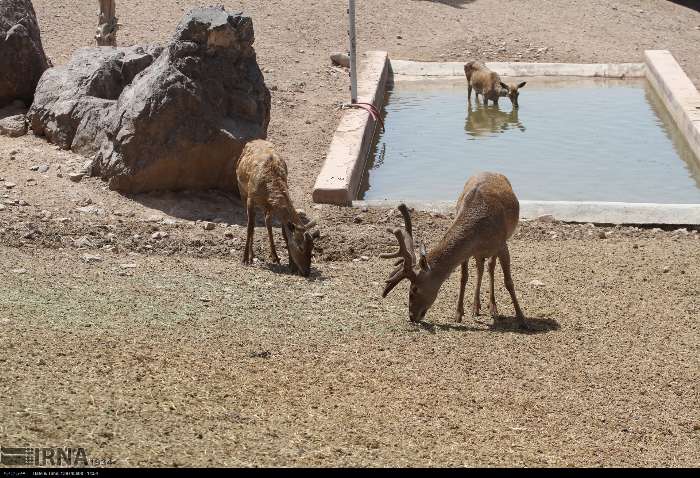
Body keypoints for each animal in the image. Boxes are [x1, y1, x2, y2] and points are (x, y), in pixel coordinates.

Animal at [238, 138, 320, 276]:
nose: (306, 272)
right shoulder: (250, 198)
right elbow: (250, 228)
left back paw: (275, 256)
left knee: (268, 222)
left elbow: (284, 233)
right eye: (301, 247)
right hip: (242, 190)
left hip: (267, 208)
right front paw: (244, 259)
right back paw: (251, 256)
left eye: (312, 247)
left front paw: (291, 265)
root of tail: (253, 141)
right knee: (253, 224)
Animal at [382, 174, 524, 326]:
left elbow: (508, 282)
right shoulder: (468, 252)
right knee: (481, 268)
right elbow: (463, 278)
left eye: (414, 289)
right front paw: (458, 314)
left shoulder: (502, 244)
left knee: (490, 266)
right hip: (479, 254)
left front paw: (521, 318)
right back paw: (476, 307)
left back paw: (493, 308)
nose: (412, 316)